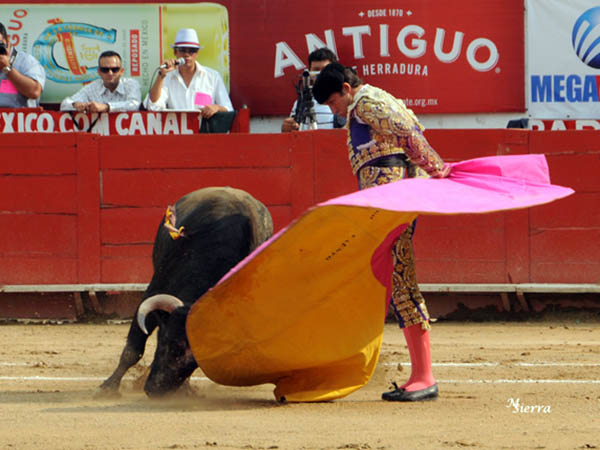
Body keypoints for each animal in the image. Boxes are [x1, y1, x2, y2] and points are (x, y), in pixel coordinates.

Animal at [96, 186, 274, 398]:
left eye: (198, 360)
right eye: (166, 341)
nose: (155, 389)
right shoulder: (153, 290)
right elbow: (133, 348)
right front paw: (108, 387)